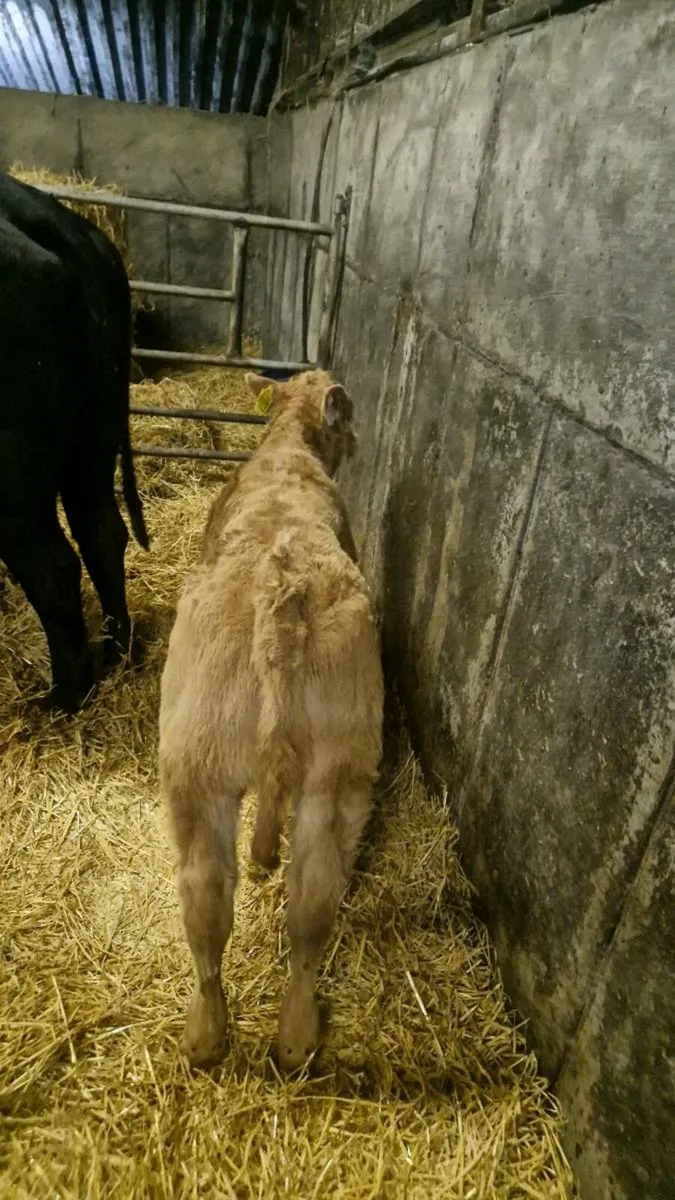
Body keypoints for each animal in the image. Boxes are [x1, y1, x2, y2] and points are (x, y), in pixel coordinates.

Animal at [0, 169, 148, 713]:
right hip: (95, 434)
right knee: (102, 530)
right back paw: (114, 651)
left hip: (12, 464)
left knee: (53, 567)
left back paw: (63, 696)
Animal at [159, 369, 384, 1071]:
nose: (358, 439)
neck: (287, 451)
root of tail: (280, 590)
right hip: (330, 772)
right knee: (304, 904)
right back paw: (284, 1039)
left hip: (198, 763)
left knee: (207, 898)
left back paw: (210, 1034)